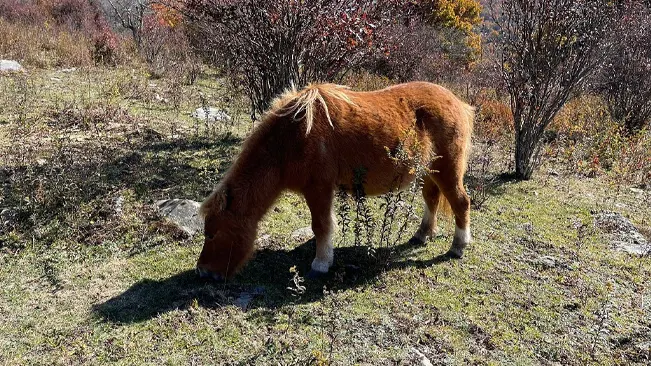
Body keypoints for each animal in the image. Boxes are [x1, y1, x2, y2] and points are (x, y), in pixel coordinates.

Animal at [196, 82, 476, 280]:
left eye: (212, 233)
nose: (202, 272)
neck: (293, 138)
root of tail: (459, 103)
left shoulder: (318, 188)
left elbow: (321, 226)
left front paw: (320, 264)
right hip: (429, 171)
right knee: (432, 199)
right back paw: (422, 235)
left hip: (447, 171)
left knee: (461, 202)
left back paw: (458, 247)